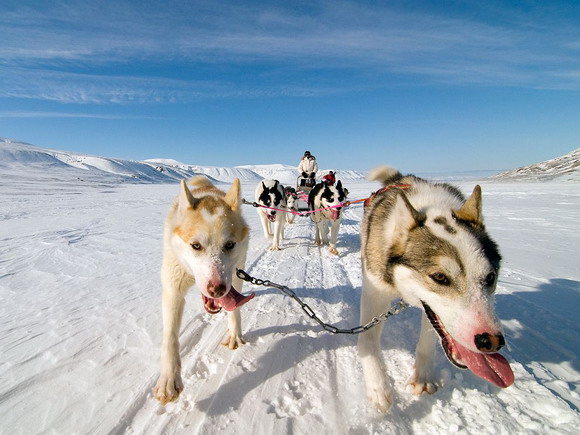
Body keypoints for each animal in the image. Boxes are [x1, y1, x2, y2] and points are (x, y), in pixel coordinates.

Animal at [154, 176, 254, 406]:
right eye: (196, 245)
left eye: (229, 244)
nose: (216, 289)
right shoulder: (173, 287)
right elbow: (170, 336)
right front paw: (169, 379)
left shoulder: (235, 277)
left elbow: (234, 310)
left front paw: (234, 334)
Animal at [358, 169, 512, 414]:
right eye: (439, 277)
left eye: (490, 277)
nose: (491, 342)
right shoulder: (375, 291)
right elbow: (367, 340)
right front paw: (378, 387)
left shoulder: (432, 312)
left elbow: (428, 341)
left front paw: (422, 378)